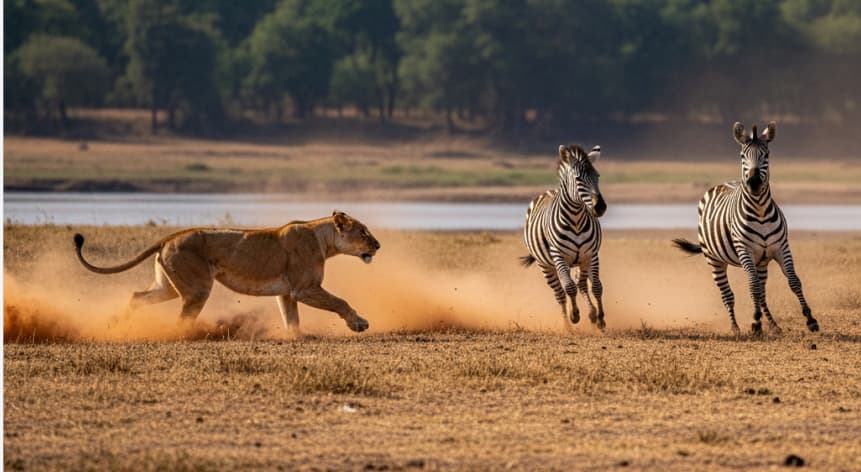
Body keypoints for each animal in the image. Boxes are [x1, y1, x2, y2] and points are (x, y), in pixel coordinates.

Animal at [73, 210, 381, 335]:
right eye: (363, 232)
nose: (378, 245)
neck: (324, 239)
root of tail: (170, 237)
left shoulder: (286, 293)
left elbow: (291, 318)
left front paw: (295, 337)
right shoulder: (304, 288)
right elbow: (340, 301)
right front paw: (359, 323)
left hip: (168, 286)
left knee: (137, 296)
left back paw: (119, 324)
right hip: (197, 288)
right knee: (181, 319)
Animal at [521, 144, 607, 330]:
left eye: (597, 176)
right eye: (578, 179)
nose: (600, 207)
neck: (576, 220)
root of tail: (548, 191)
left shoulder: (591, 254)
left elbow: (596, 286)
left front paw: (601, 319)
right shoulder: (558, 255)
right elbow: (569, 288)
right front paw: (574, 315)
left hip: (579, 261)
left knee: (581, 284)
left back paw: (592, 314)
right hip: (547, 265)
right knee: (560, 293)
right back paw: (567, 326)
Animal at [672, 121, 819, 335]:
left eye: (766, 154)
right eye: (742, 155)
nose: (754, 182)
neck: (760, 211)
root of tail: (720, 184)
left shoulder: (781, 247)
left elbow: (793, 280)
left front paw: (810, 319)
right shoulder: (745, 250)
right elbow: (753, 287)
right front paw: (755, 322)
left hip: (762, 262)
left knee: (762, 293)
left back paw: (774, 325)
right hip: (715, 260)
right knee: (728, 295)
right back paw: (735, 327)